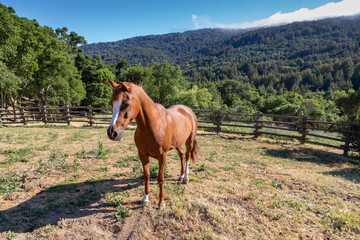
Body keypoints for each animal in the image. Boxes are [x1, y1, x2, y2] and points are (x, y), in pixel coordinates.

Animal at [107, 79, 200, 207]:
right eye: (111, 103)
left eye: (126, 103)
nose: (112, 133)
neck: (153, 125)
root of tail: (188, 110)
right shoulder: (142, 155)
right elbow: (146, 176)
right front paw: (145, 198)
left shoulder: (162, 156)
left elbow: (160, 178)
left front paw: (161, 203)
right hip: (178, 143)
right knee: (181, 155)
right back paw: (181, 176)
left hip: (189, 141)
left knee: (187, 156)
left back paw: (185, 178)